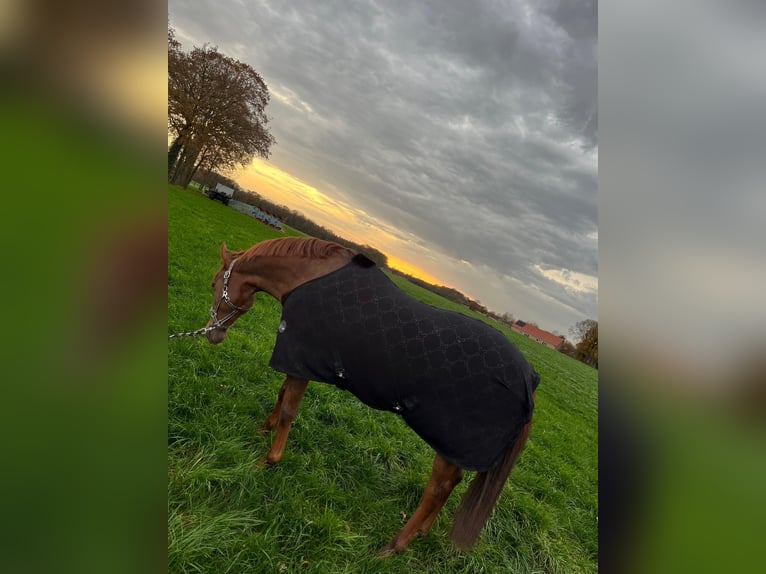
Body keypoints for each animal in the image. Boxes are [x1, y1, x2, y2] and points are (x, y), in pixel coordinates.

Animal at [204, 236, 540, 556]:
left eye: (213, 283)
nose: (212, 333)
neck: (308, 277)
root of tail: (528, 381)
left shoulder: (299, 360)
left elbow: (288, 408)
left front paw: (268, 461)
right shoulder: (297, 362)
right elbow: (281, 395)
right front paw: (262, 429)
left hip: (449, 441)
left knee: (438, 487)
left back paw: (395, 546)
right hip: (453, 448)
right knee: (452, 483)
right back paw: (421, 532)